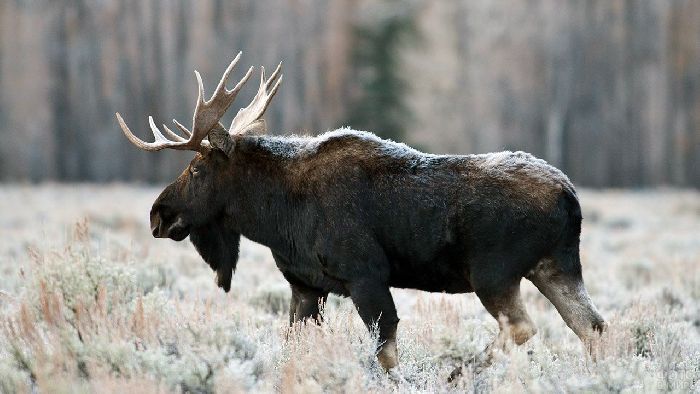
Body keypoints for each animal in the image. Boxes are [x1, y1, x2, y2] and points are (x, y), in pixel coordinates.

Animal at [113, 52, 600, 372]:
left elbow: (385, 356)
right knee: (592, 327)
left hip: (493, 273)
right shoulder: (305, 286)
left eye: (196, 168)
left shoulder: (365, 276)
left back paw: (460, 372)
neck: (277, 217)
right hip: (555, 268)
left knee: (523, 327)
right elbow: (293, 347)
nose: (158, 214)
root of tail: (570, 196)